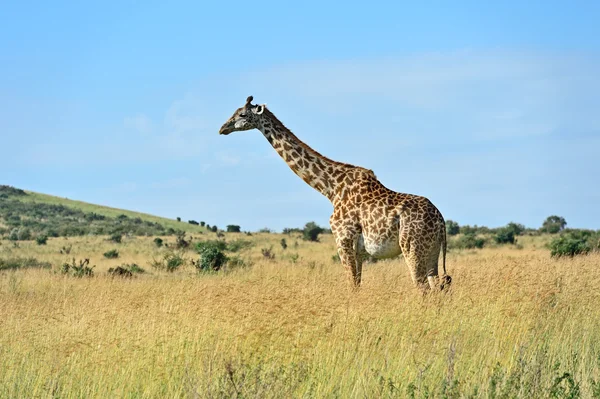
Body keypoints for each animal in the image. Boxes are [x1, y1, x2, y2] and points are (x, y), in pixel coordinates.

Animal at [219, 95, 450, 292]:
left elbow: (352, 286)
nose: (222, 128)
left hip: (412, 247)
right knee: (439, 287)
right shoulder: (358, 250)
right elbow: (357, 285)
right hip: (431, 252)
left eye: (242, 114)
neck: (331, 188)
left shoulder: (343, 240)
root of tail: (441, 222)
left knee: (423, 289)